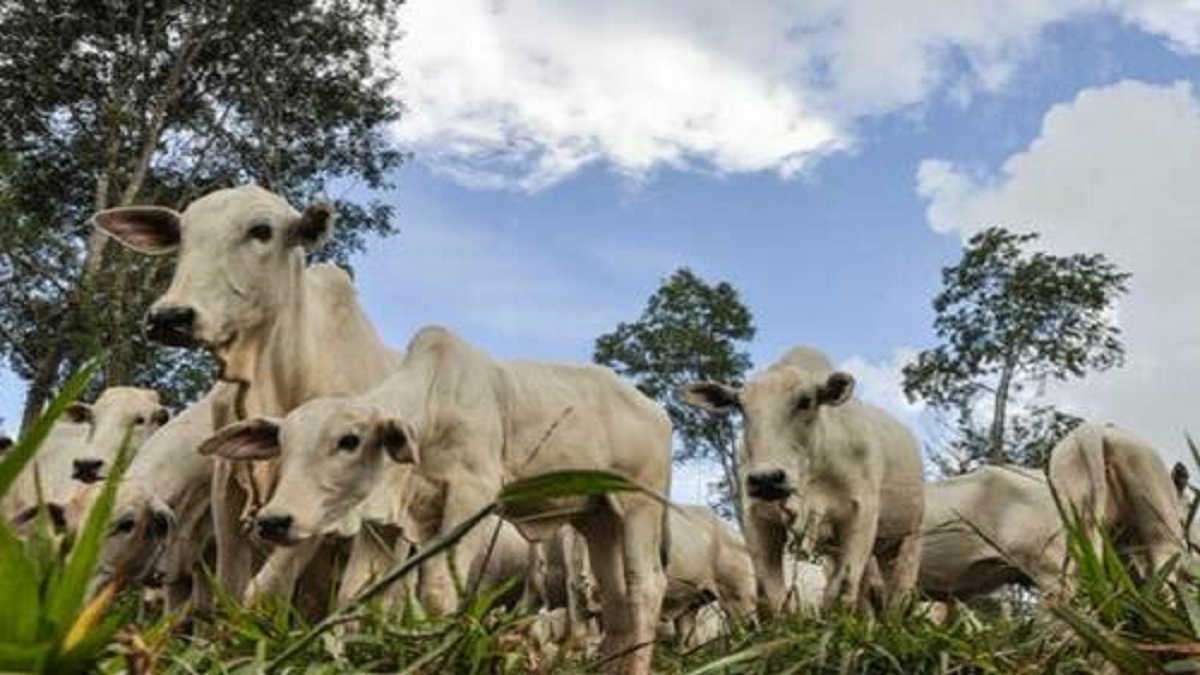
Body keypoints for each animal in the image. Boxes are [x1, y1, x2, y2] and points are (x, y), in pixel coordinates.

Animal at [92, 184, 403, 605]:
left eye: (261, 231)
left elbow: (266, 588)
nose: (170, 317)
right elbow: (228, 586)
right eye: (183, 235)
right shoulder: (226, 488)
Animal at [204, 324, 676, 667]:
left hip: (639, 506)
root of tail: (657, 411)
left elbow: (437, 592)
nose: (274, 520)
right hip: (597, 519)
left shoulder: (473, 496)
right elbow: (355, 595)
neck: (432, 407)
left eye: (349, 440)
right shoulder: (384, 520)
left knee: (646, 586)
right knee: (616, 601)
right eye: (282, 444)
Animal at [681, 343, 921, 612]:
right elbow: (775, 595)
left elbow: (842, 590)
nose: (766, 479)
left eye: (806, 401)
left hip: (909, 538)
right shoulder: (758, 520)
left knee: (899, 592)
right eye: (740, 406)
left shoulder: (862, 514)